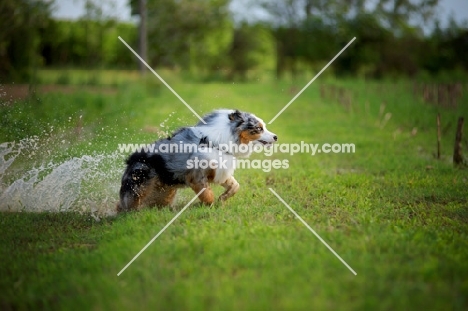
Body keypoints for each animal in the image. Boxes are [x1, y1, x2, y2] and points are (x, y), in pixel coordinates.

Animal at [117, 108, 278, 213]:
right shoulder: (196, 176)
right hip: (138, 188)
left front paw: (223, 198)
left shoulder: (219, 171)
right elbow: (207, 195)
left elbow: (235, 186)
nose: (276, 137)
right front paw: (210, 207)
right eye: (259, 128)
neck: (216, 142)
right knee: (124, 205)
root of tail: (131, 159)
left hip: (165, 192)